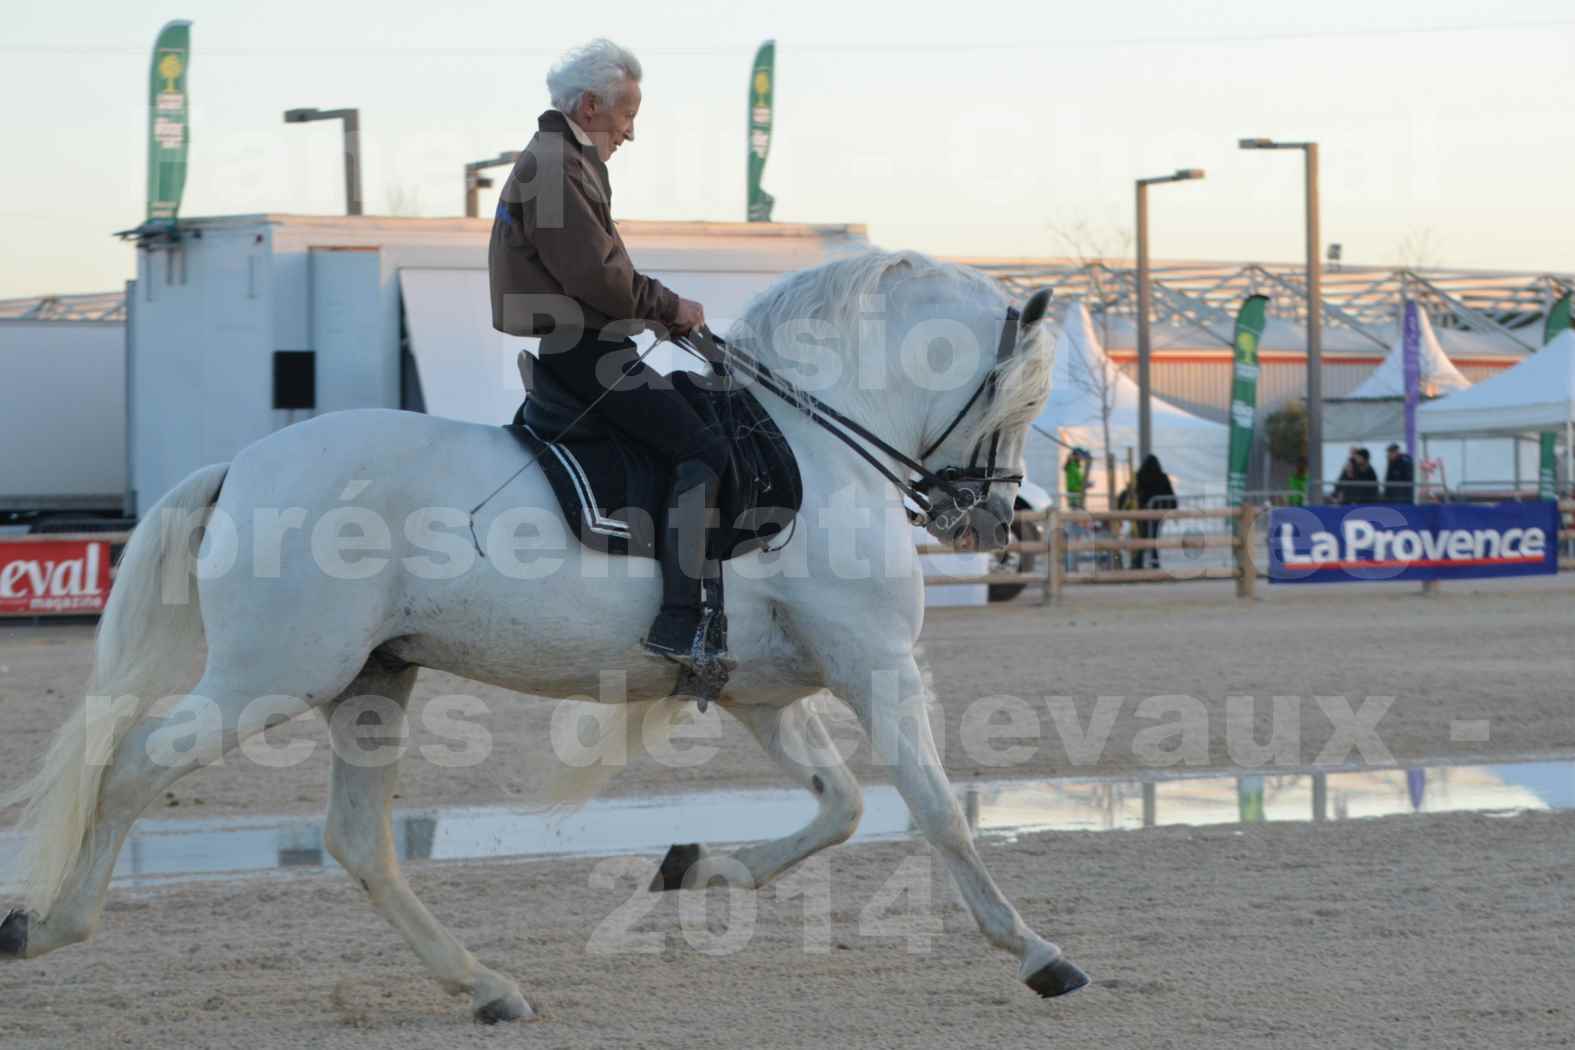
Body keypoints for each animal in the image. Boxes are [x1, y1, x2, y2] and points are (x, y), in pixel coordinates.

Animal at [0, 250, 1083, 1020]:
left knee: (356, 840)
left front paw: (700, 868)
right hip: (275, 676)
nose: (991, 518)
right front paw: (1038, 954)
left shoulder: (764, 691)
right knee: (134, 767)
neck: (816, 446)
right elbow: (934, 810)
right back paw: (50, 925)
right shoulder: (874, 665)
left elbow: (844, 805)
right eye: (1022, 397)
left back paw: (483, 987)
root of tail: (243, 465)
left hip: (371, 682)